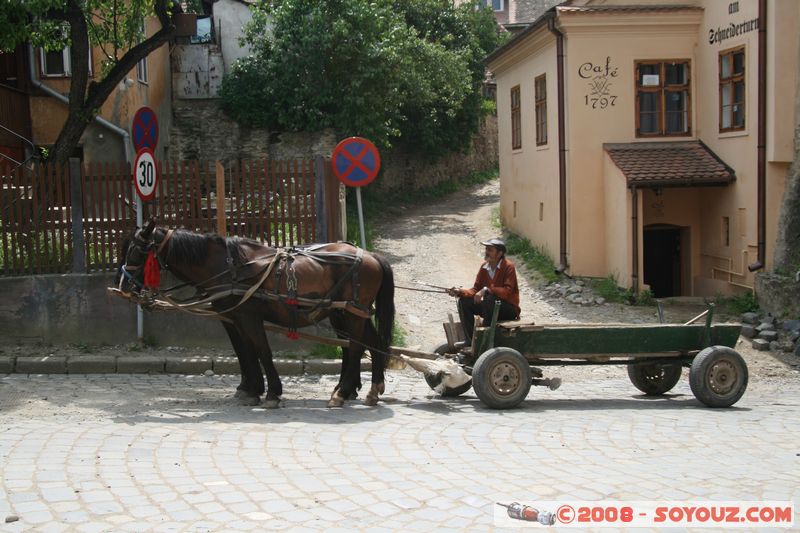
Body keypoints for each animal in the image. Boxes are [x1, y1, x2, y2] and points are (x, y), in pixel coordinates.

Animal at [115, 220, 394, 408]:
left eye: (138, 251)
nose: (123, 285)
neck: (229, 266)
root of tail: (371, 255)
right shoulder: (233, 317)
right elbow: (244, 351)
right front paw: (250, 389)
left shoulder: (249, 317)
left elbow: (261, 350)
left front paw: (271, 393)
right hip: (344, 314)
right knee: (369, 344)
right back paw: (369, 390)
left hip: (352, 314)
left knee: (356, 348)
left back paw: (342, 392)